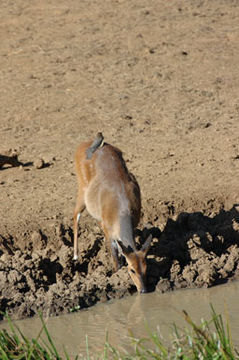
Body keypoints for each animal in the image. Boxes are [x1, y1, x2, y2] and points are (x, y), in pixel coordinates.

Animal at [73, 132, 151, 292]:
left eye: (146, 267)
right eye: (131, 270)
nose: (143, 290)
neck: (121, 211)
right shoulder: (109, 233)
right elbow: (115, 259)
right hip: (82, 191)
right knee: (75, 215)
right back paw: (75, 256)